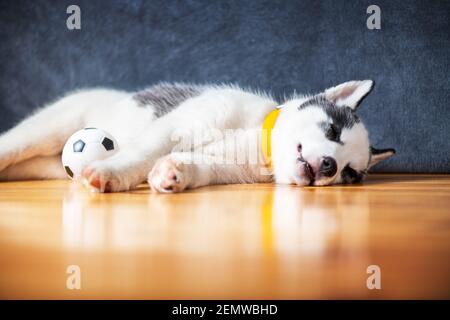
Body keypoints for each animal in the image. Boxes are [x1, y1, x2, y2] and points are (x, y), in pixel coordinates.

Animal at [0, 80, 394, 192]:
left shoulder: (225, 168)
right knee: (13, 145)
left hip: (49, 165)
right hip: (51, 127)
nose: (328, 165)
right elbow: (141, 153)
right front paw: (111, 173)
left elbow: (197, 166)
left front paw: (173, 174)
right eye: (332, 130)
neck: (257, 140)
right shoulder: (178, 125)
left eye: (348, 173)